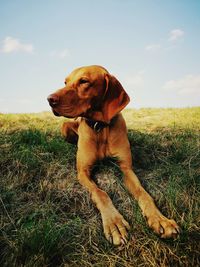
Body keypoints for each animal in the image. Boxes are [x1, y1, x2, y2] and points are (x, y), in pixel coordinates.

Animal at [47, 66, 180, 246]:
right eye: (65, 82)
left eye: (84, 81)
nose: (49, 99)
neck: (100, 128)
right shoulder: (83, 172)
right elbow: (100, 193)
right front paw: (114, 223)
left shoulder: (126, 168)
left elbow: (143, 193)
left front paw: (160, 220)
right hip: (65, 127)